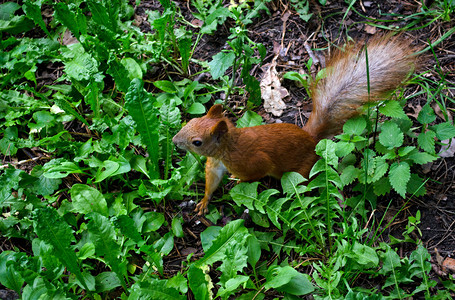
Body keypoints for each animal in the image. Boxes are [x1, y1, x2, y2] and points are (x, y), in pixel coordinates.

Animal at [173, 35, 418, 214]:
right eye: (192, 120)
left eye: (197, 142)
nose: (175, 141)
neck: (226, 149)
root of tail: (311, 138)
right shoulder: (214, 166)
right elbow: (212, 183)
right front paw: (204, 201)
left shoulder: (252, 161)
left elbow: (253, 173)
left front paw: (236, 181)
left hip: (302, 168)